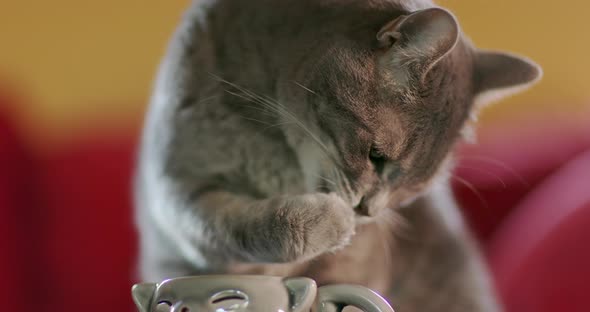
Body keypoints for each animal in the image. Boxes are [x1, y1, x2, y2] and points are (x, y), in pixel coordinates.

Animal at [134, 0, 540, 310]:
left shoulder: (356, 263)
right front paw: (329, 220)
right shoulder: (180, 188)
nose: (367, 212)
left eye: (413, 190)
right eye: (376, 155)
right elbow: (238, 227)